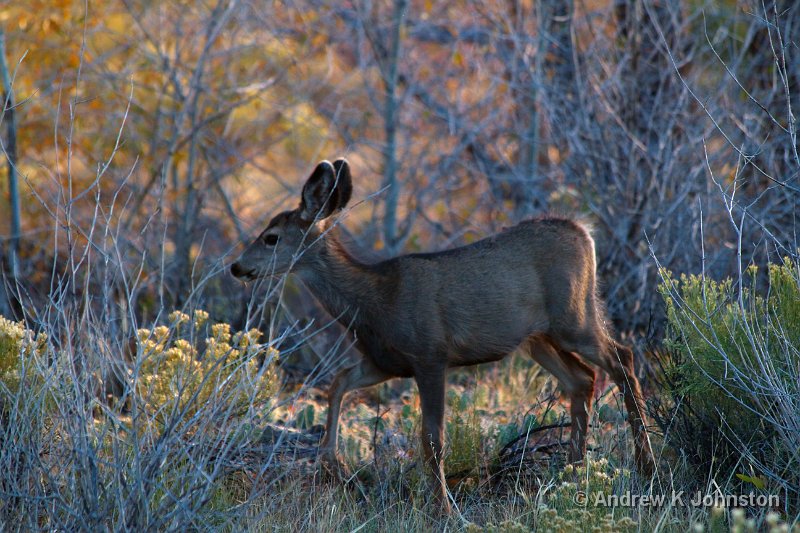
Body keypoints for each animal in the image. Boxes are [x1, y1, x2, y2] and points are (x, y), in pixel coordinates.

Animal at [231, 158, 656, 512]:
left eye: (271, 236)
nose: (237, 267)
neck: (376, 301)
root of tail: (584, 231)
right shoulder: (384, 362)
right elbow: (337, 384)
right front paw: (332, 464)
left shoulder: (430, 354)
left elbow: (432, 438)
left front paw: (443, 509)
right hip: (538, 339)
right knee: (583, 378)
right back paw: (574, 474)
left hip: (574, 317)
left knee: (622, 358)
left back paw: (646, 467)